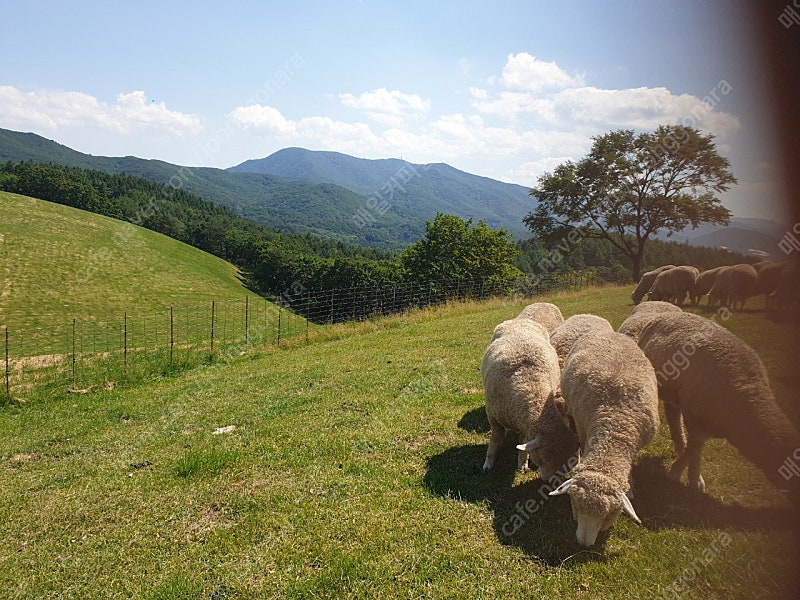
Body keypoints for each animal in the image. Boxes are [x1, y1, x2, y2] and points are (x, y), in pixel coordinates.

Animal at [478, 318, 580, 478]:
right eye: (542, 459)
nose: (547, 480)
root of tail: (520, 319)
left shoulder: (524, 425)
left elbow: (522, 444)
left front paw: (522, 464)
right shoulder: (493, 417)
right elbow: (495, 439)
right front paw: (488, 463)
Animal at [544, 332, 664, 548]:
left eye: (609, 515)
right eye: (575, 505)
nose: (583, 544)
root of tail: (612, 333)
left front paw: (631, 486)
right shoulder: (583, 430)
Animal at [636, 308, 800, 500]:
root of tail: (665, 313)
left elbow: (695, 446)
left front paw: (688, 475)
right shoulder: (695, 416)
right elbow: (695, 446)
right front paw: (686, 476)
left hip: (674, 392)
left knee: (674, 418)